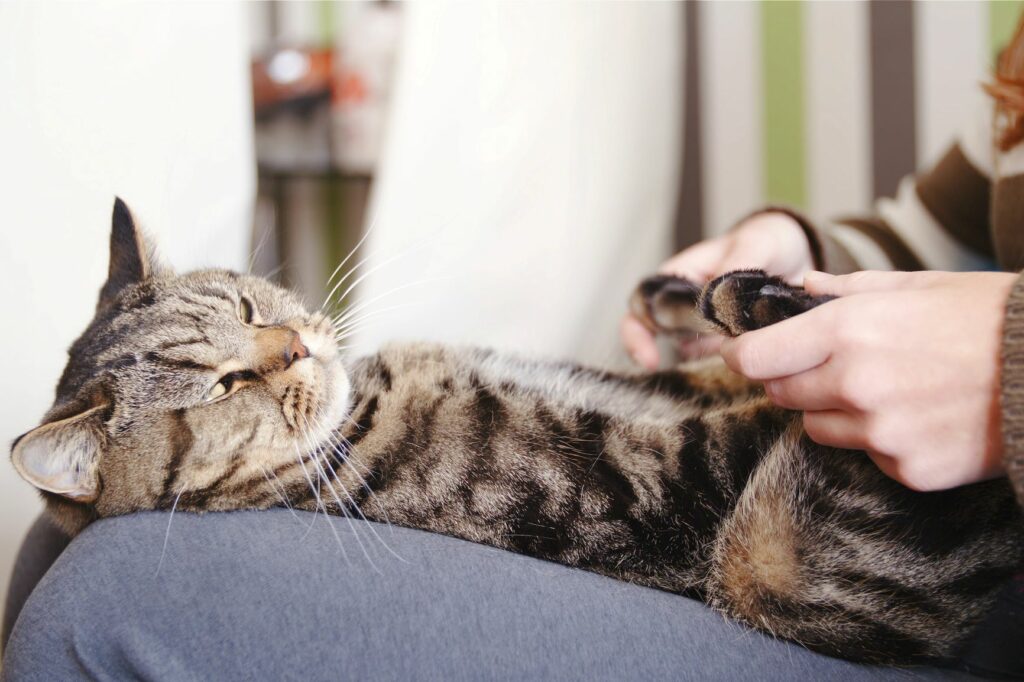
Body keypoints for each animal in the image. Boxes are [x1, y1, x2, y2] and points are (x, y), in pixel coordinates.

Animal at [9, 199, 1024, 659]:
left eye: (253, 305)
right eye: (222, 383)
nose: (295, 345)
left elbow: (696, 364)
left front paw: (686, 295)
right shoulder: (652, 480)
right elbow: (739, 411)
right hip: (771, 560)